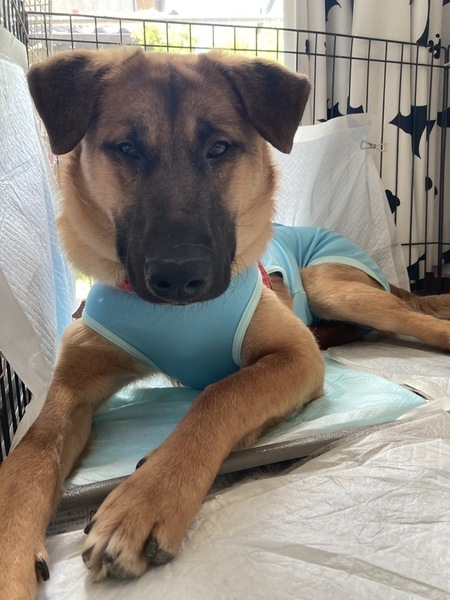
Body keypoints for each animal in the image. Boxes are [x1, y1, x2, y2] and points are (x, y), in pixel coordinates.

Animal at [1, 48, 450, 599]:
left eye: (218, 147)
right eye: (127, 148)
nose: (179, 276)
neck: (177, 318)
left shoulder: (293, 355)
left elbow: (222, 393)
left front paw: (148, 497)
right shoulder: (72, 386)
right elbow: (30, 454)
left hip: (329, 284)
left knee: (414, 321)